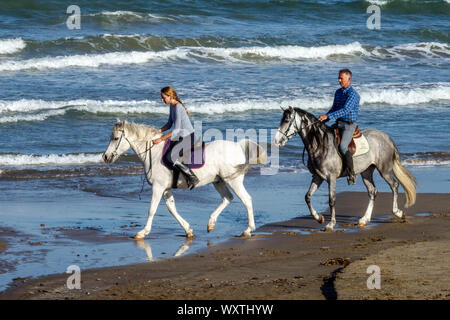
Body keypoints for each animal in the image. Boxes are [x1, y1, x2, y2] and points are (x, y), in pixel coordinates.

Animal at [102, 120, 268, 240]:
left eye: (115, 138)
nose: (105, 157)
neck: (153, 153)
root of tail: (238, 145)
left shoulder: (158, 187)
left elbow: (152, 210)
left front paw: (142, 232)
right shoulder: (166, 189)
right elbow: (172, 209)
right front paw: (188, 230)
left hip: (234, 180)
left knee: (246, 200)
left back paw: (247, 230)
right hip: (218, 181)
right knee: (228, 198)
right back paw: (211, 224)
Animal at [274, 107, 418, 230]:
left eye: (286, 120)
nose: (276, 141)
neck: (321, 145)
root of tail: (386, 138)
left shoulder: (331, 178)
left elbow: (332, 200)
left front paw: (330, 224)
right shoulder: (318, 177)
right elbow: (307, 197)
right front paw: (319, 218)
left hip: (385, 170)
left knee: (394, 185)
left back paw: (398, 212)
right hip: (366, 172)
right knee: (372, 191)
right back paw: (364, 219)